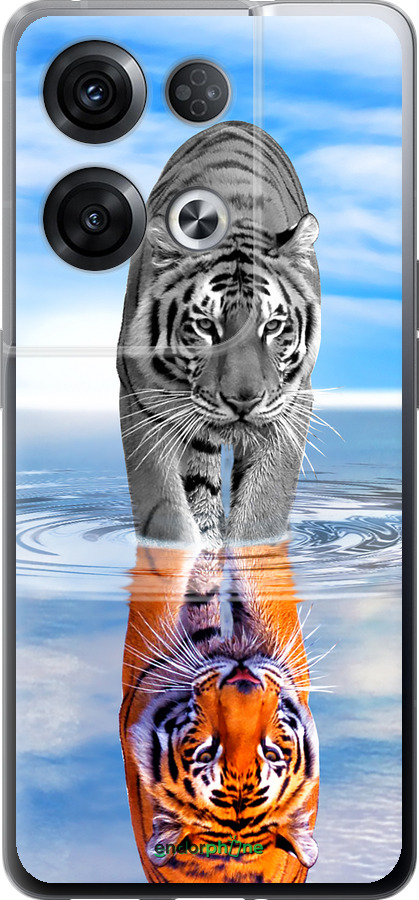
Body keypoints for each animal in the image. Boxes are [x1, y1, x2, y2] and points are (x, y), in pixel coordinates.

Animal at [118, 121, 321, 549]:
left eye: (272, 326)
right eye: (206, 326)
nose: (243, 401)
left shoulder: (292, 404)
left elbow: (262, 509)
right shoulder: (141, 402)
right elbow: (165, 511)